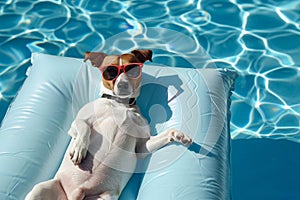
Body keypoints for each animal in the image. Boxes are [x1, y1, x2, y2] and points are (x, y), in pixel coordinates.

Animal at [25, 48, 192, 200]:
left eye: (132, 69)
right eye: (110, 71)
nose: (123, 85)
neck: (121, 104)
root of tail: (76, 193)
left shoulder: (142, 146)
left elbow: (165, 134)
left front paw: (179, 135)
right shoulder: (76, 124)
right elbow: (85, 128)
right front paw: (79, 149)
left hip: (105, 198)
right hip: (39, 189)